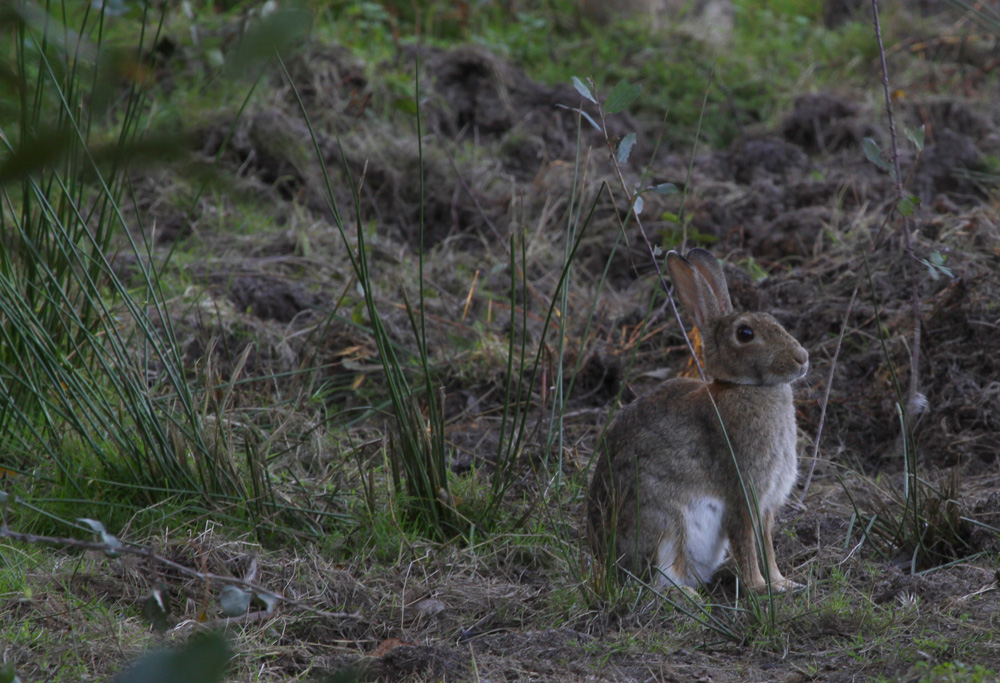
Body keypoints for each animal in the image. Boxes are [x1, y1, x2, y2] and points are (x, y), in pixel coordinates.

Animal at [584, 247, 812, 592]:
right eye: (745, 333)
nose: (802, 358)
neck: (746, 387)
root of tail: (607, 562)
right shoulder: (742, 491)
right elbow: (746, 541)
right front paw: (759, 587)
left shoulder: (767, 503)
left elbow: (767, 545)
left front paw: (783, 584)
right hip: (666, 524)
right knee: (659, 580)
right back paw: (689, 595)